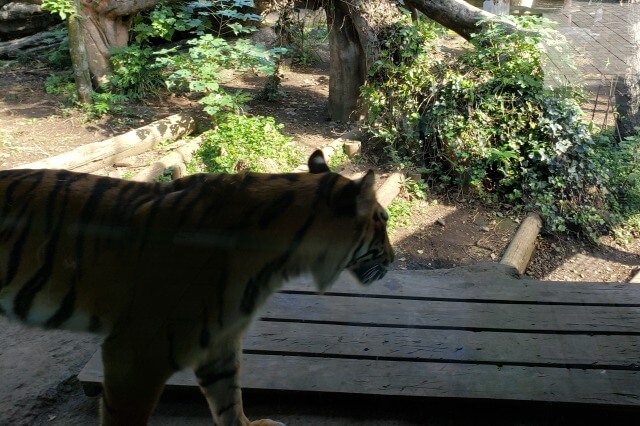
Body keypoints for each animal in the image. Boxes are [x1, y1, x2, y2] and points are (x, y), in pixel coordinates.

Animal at [0, 148, 396, 424]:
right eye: (383, 219)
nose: (393, 258)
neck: (283, 257)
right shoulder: (136, 351)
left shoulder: (218, 340)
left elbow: (229, 400)